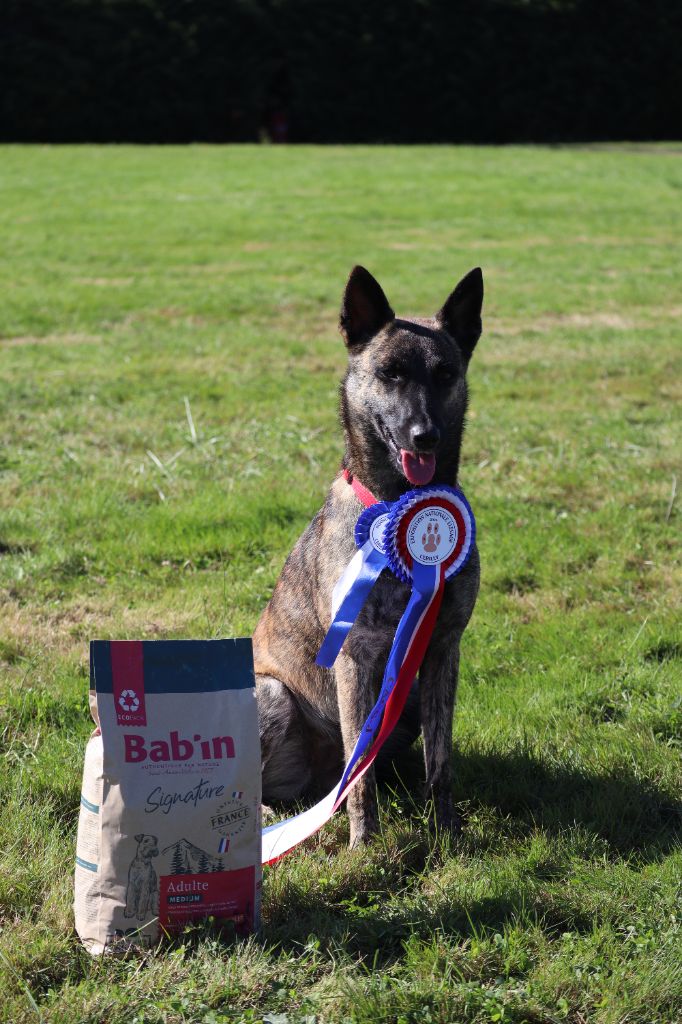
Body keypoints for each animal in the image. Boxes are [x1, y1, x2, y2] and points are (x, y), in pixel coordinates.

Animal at [251, 264, 481, 847]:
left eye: (445, 373)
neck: (399, 501)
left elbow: (441, 762)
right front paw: (366, 846)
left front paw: (446, 833)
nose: (425, 435)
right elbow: (364, 774)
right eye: (390, 373)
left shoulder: (442, 651)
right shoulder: (356, 659)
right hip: (271, 694)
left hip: (407, 704)